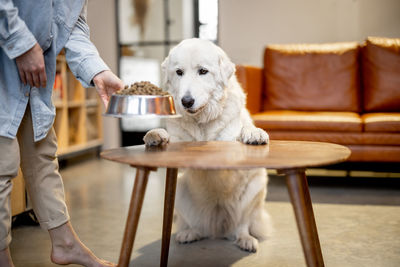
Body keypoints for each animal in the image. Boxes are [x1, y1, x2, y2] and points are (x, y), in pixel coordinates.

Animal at [144, 38, 272, 253]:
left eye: (203, 71)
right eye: (179, 72)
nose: (186, 101)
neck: (202, 122)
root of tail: (219, 228)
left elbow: (241, 131)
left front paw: (253, 133)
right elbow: (168, 137)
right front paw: (155, 135)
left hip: (256, 188)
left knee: (242, 225)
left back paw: (245, 240)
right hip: (180, 189)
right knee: (197, 226)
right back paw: (190, 234)